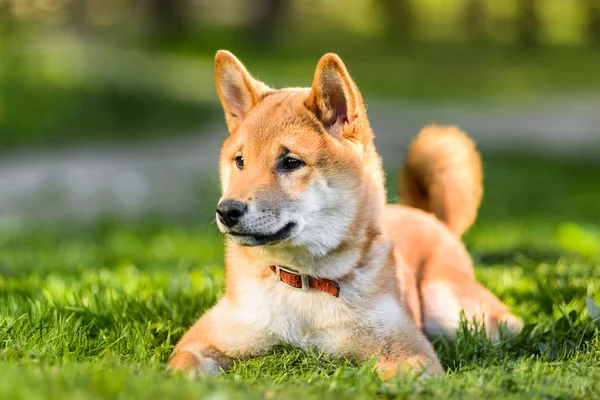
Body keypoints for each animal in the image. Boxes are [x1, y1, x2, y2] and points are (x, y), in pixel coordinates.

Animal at [166, 50, 524, 378]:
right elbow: (181, 369)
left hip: (449, 307)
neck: (303, 282)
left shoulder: (409, 350)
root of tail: (427, 216)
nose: (226, 210)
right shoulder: (205, 339)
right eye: (239, 161)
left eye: (291, 162)